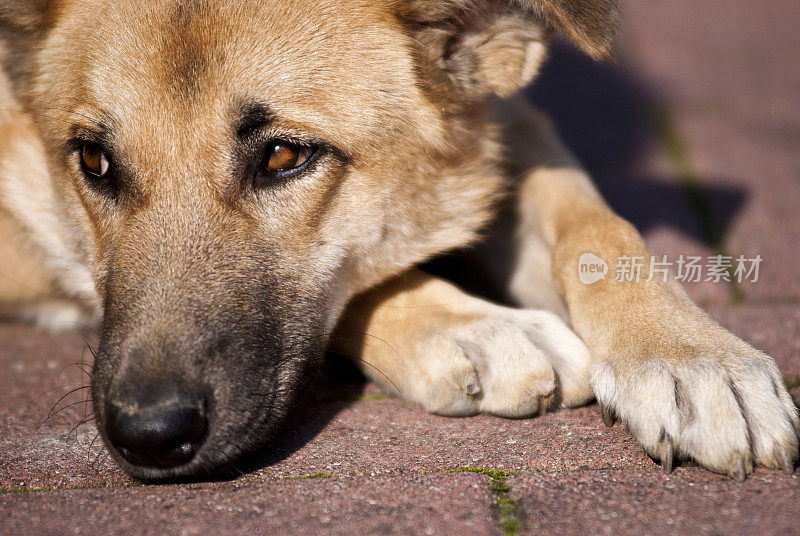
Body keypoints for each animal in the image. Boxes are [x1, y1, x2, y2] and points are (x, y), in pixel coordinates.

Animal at [1, 0, 800, 482]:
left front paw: (691, 355)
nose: (150, 435)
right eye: (93, 161)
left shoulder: (507, 120)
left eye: (284, 157)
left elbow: (600, 227)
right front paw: (470, 326)